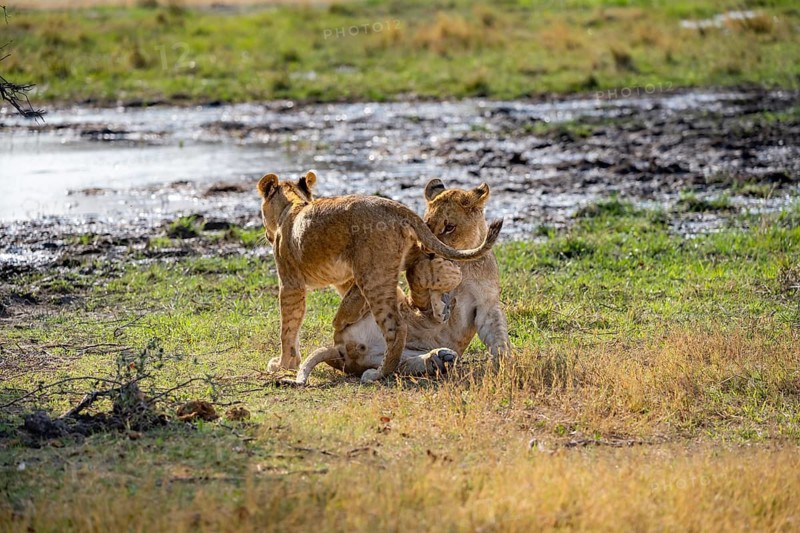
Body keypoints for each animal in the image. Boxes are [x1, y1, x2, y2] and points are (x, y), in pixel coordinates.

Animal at [257, 171, 503, 383]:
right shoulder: (344, 280)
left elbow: (288, 326)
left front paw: (284, 364)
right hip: (397, 263)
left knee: (396, 328)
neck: (293, 207)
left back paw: (376, 374)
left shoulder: (290, 282)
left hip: (374, 276)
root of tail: (395, 207)